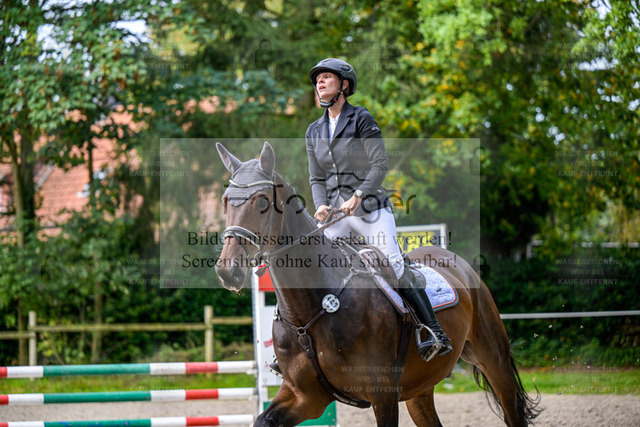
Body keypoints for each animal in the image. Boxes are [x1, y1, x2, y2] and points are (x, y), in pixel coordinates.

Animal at [214, 142, 540, 427]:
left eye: (262, 201)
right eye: (225, 201)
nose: (227, 270)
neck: (312, 310)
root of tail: (458, 262)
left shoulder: (382, 395)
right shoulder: (304, 396)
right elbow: (263, 419)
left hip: (493, 359)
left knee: (512, 409)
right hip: (419, 389)